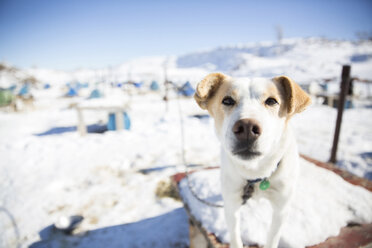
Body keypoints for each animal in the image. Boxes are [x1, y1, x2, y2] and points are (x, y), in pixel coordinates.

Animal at [193, 72, 312, 247]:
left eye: (271, 101)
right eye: (227, 100)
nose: (247, 128)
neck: (255, 173)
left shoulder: (281, 209)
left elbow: (272, 238)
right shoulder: (232, 204)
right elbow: (235, 237)